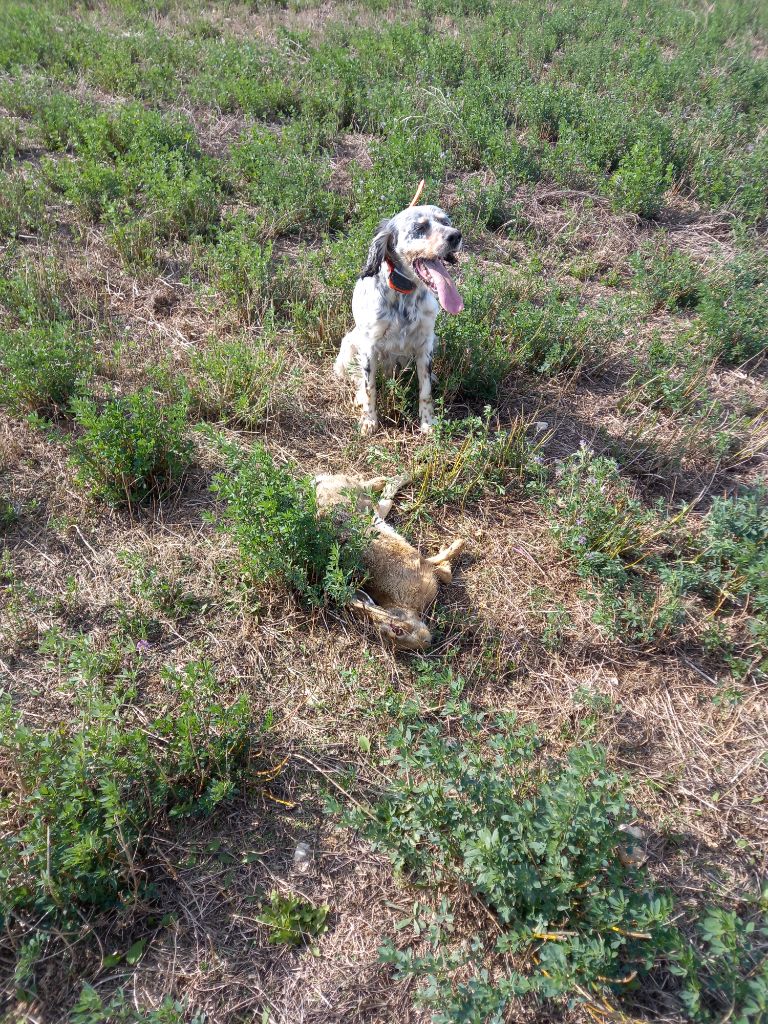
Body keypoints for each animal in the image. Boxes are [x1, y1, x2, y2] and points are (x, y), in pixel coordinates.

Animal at [311, 468, 462, 647]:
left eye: (397, 630)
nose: (426, 642)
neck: (397, 602)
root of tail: (319, 483)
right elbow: (443, 572)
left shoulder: (415, 560)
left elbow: (442, 569)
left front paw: (456, 544)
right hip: (372, 507)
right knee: (381, 494)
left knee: (381, 489)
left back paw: (409, 474)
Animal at [331, 199, 462, 436]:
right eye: (420, 227)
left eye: (446, 222)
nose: (456, 235)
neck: (404, 294)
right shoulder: (369, 347)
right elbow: (370, 387)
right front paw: (369, 420)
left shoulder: (425, 344)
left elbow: (425, 390)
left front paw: (428, 422)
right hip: (349, 346)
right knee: (357, 378)